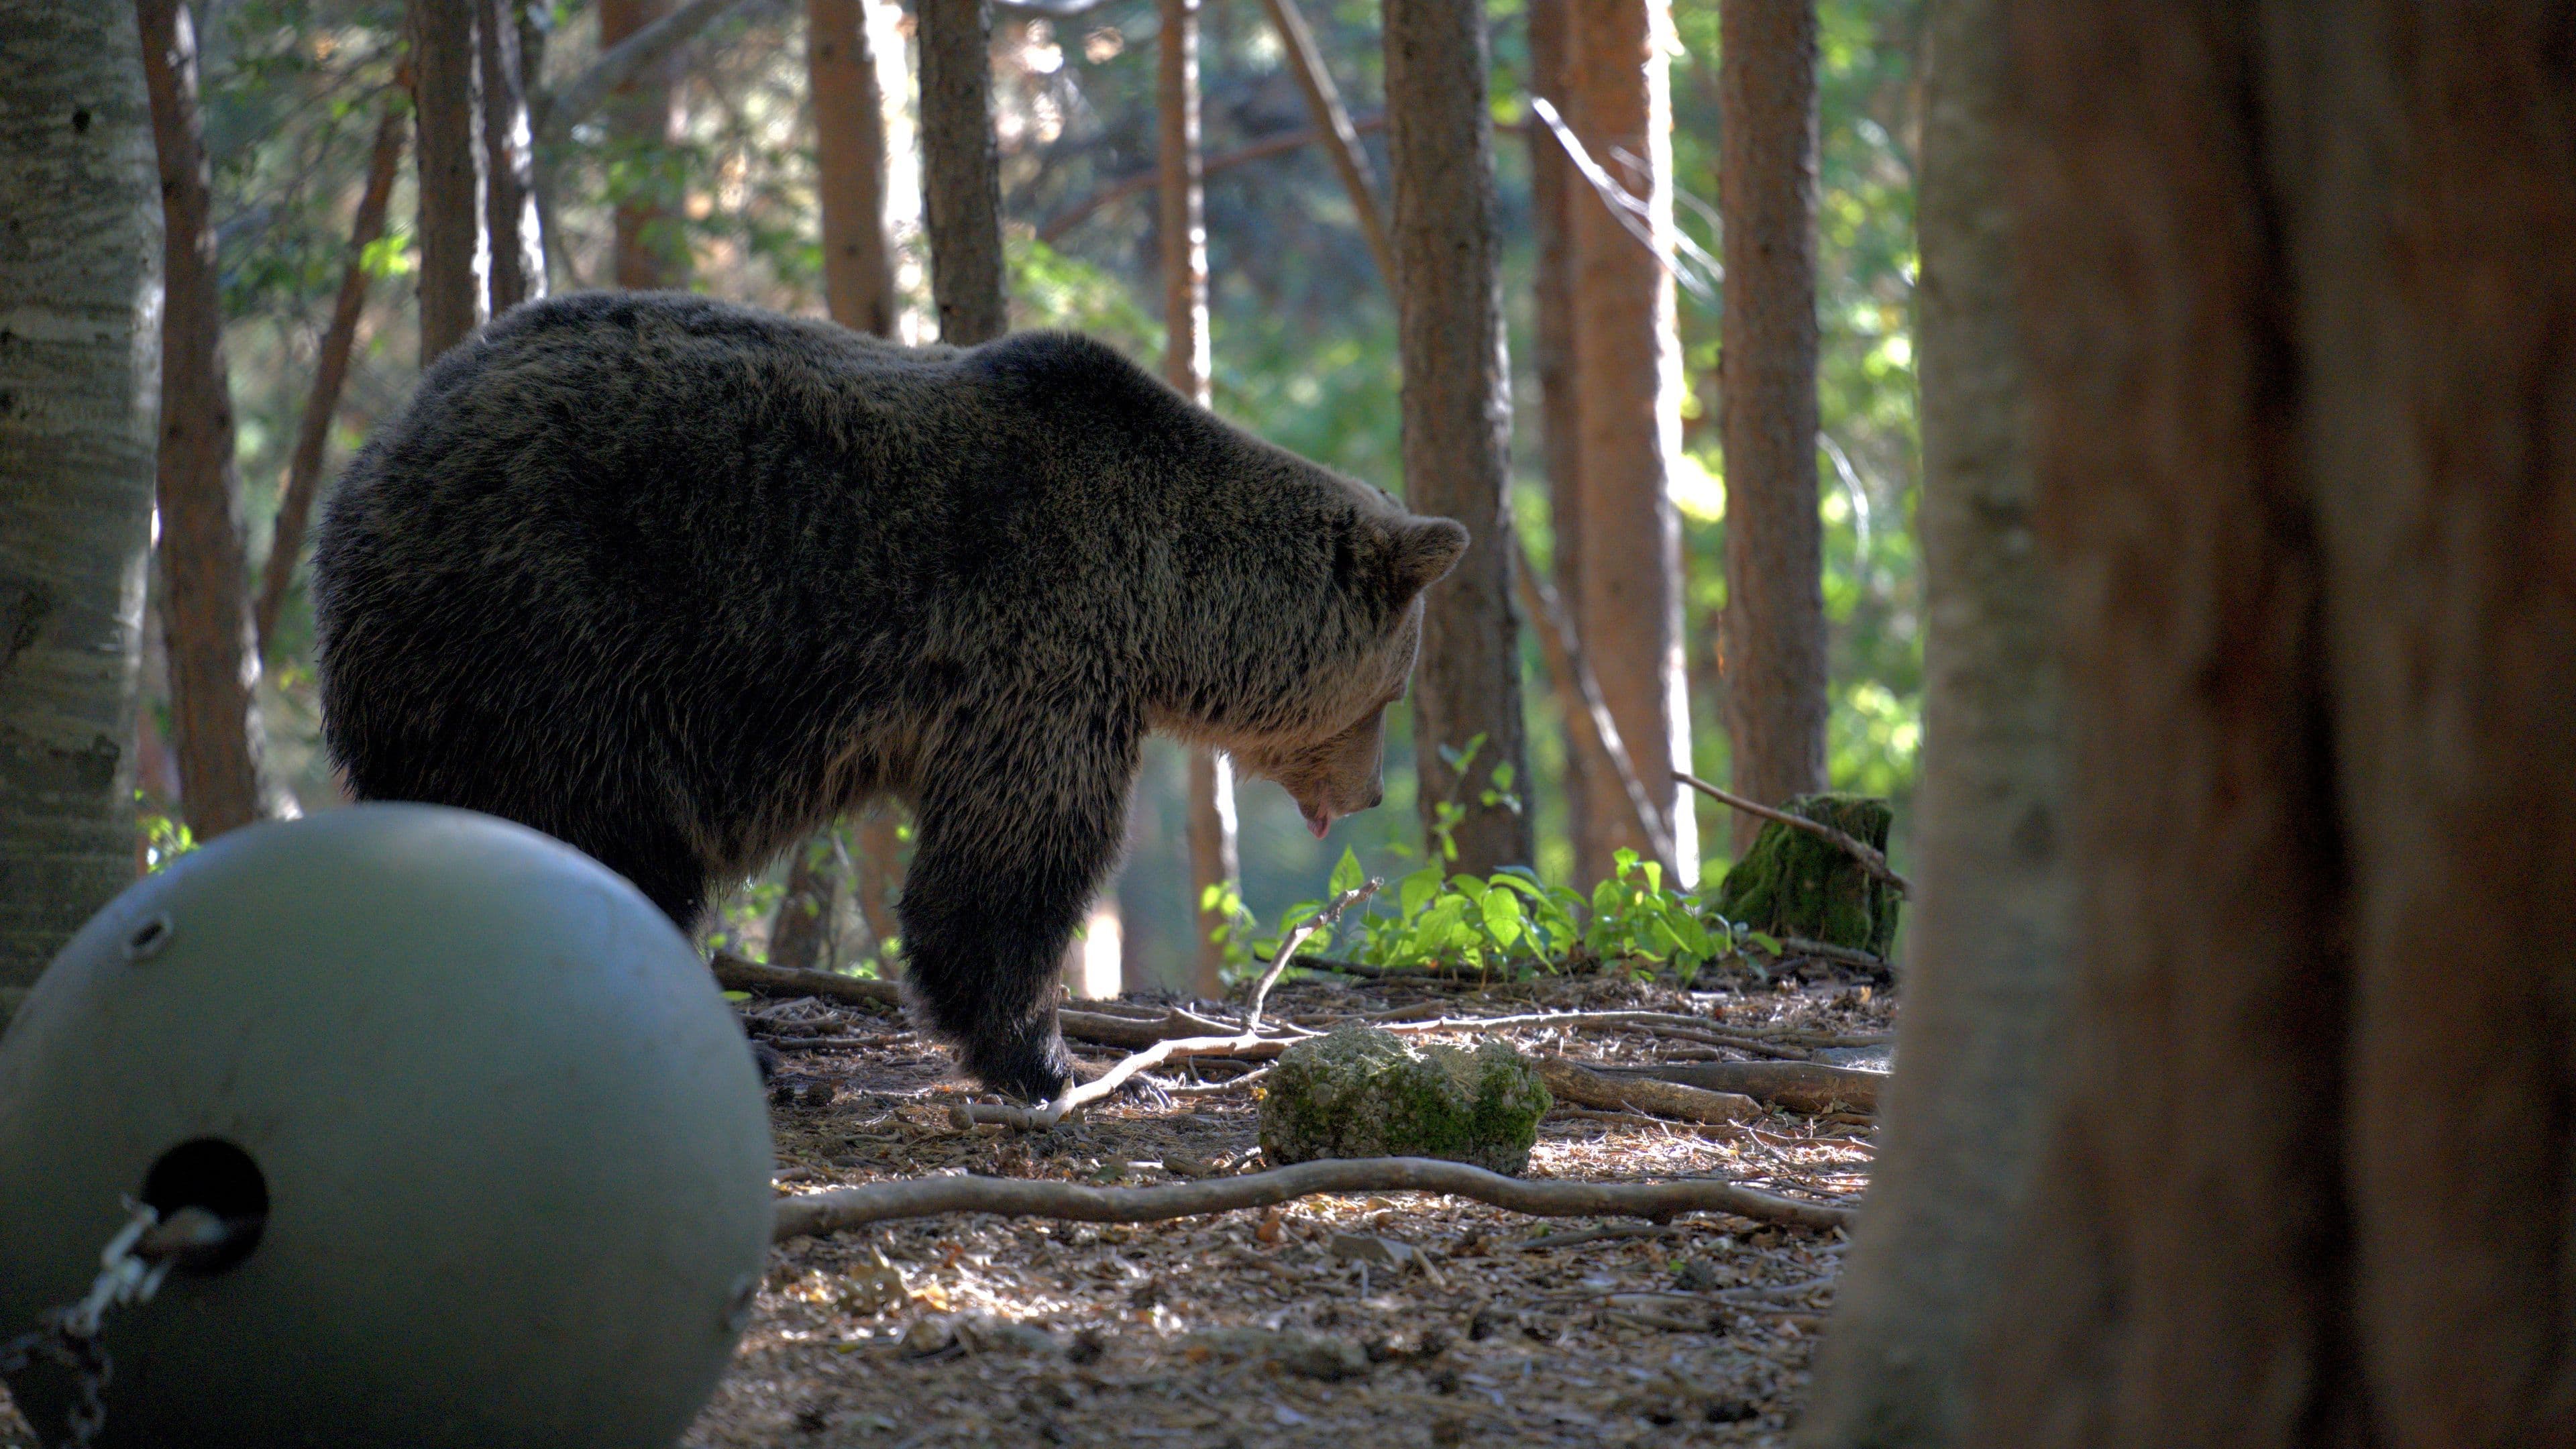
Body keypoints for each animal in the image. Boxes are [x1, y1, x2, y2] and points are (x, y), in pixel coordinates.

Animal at [311, 291, 1466, 1101]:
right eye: (1394, 690)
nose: (1369, 793)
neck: (1171, 599)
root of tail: (373, 469)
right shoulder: (1042, 651)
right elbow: (1012, 864)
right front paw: (1051, 1060)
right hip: (561, 636)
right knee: (611, 853)